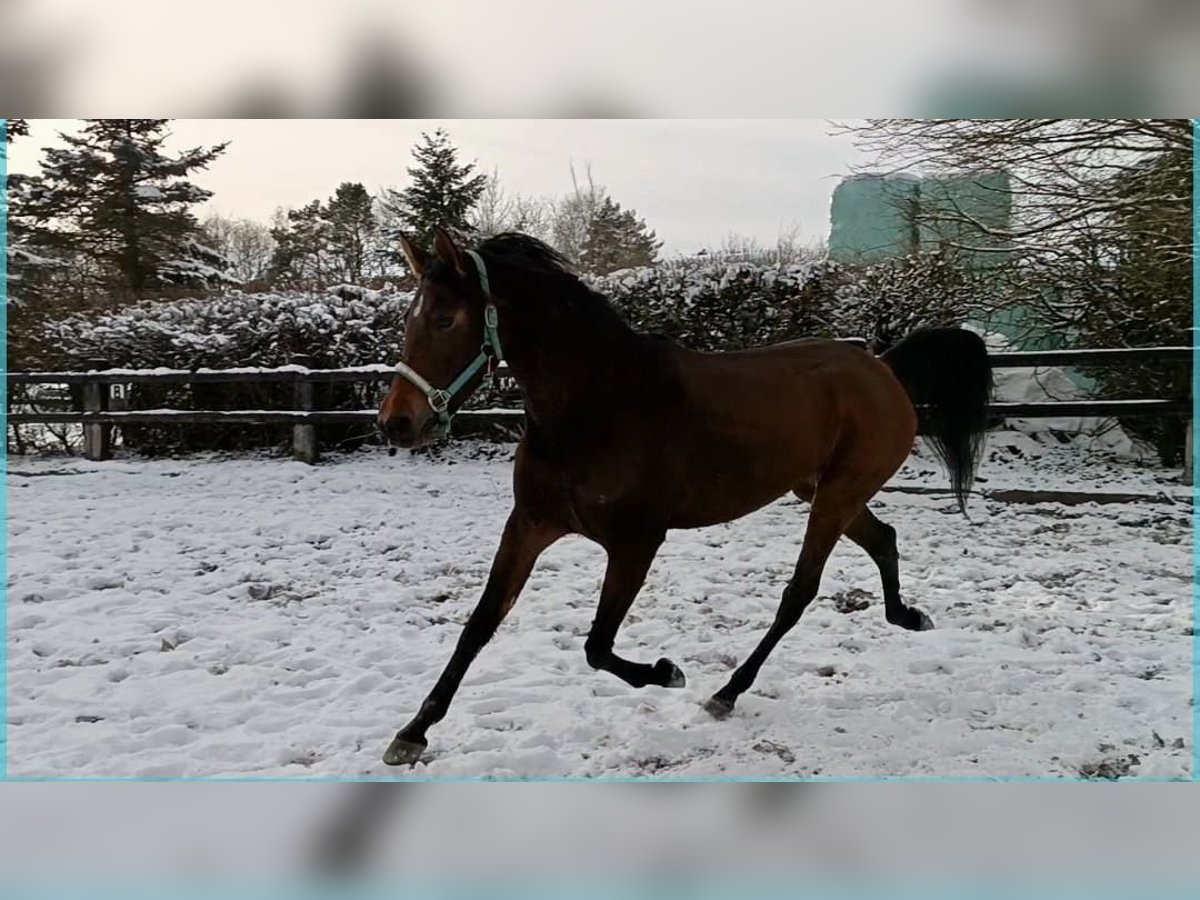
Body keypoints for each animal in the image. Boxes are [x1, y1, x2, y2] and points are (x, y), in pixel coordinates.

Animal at [376, 226, 993, 768]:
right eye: (408, 321)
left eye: (445, 319)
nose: (396, 423)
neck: (597, 405)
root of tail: (884, 369)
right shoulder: (528, 525)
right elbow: (479, 625)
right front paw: (412, 733)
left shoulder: (635, 542)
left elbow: (597, 646)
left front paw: (668, 671)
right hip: (822, 488)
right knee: (883, 538)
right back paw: (908, 616)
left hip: (837, 494)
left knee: (799, 591)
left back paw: (727, 692)